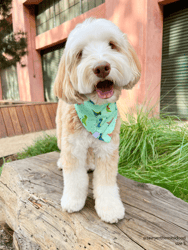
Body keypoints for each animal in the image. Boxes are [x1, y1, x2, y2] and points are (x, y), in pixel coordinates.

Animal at [53, 18, 140, 225]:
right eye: (80, 54)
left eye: (112, 45)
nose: (101, 67)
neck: (96, 112)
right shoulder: (73, 147)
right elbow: (74, 178)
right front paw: (73, 200)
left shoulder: (107, 149)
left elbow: (106, 182)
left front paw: (110, 208)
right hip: (60, 132)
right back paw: (62, 162)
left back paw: (90, 164)